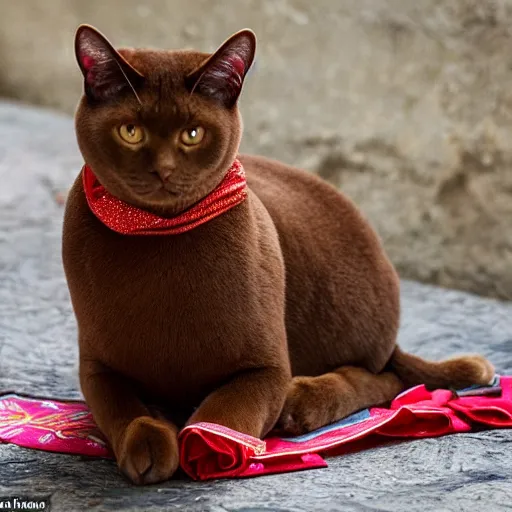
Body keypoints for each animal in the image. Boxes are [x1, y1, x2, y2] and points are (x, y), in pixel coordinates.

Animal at [62, 25, 494, 488]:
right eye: (131, 132)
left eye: (192, 134)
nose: (163, 170)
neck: (157, 231)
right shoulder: (97, 368)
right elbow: (123, 410)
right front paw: (147, 440)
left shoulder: (265, 369)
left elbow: (224, 415)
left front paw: (204, 445)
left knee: (385, 379)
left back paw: (302, 400)